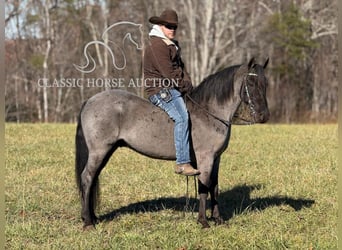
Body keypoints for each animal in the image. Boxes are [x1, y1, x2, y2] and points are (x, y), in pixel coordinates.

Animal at [74, 57, 270, 229]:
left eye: (265, 84)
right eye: (251, 83)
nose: (264, 116)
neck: (209, 112)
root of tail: (89, 101)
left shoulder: (216, 159)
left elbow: (214, 187)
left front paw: (218, 219)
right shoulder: (205, 159)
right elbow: (204, 187)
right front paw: (203, 221)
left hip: (106, 152)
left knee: (92, 179)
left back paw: (93, 217)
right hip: (99, 151)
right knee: (87, 178)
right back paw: (88, 222)